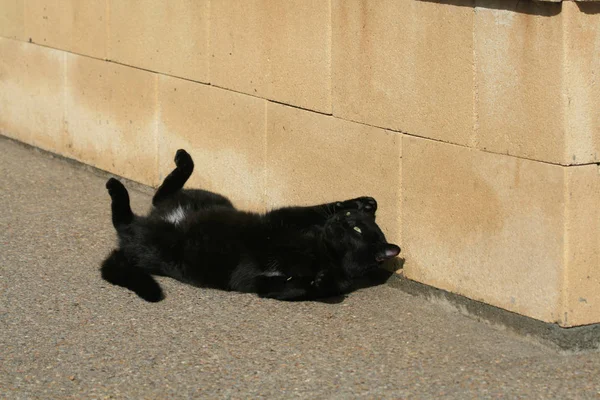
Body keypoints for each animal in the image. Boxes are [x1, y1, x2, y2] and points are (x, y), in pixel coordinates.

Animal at [101, 148, 400, 302]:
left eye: (357, 230)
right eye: (349, 218)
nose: (340, 220)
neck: (320, 248)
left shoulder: (256, 282)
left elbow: (302, 287)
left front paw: (320, 278)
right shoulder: (286, 217)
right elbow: (318, 208)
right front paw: (364, 202)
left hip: (161, 241)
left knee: (131, 219)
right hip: (204, 205)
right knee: (144, 206)